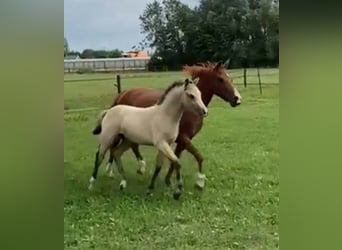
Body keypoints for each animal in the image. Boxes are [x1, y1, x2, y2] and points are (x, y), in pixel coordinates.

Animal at [107, 62, 240, 189]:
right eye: (220, 79)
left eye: (229, 78)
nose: (237, 99)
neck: (186, 109)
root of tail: (122, 94)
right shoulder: (183, 138)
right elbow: (198, 157)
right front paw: (200, 182)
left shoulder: (182, 141)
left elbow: (175, 159)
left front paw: (168, 181)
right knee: (113, 148)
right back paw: (110, 171)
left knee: (132, 146)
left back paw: (141, 167)